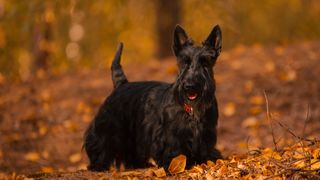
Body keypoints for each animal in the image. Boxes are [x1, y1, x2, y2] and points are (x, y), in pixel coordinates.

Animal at [84, 24, 221, 171]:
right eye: (184, 62)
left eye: (205, 63)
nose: (190, 86)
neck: (192, 109)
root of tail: (121, 84)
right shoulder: (170, 136)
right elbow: (174, 151)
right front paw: (174, 163)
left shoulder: (206, 134)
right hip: (109, 126)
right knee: (101, 143)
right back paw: (98, 165)